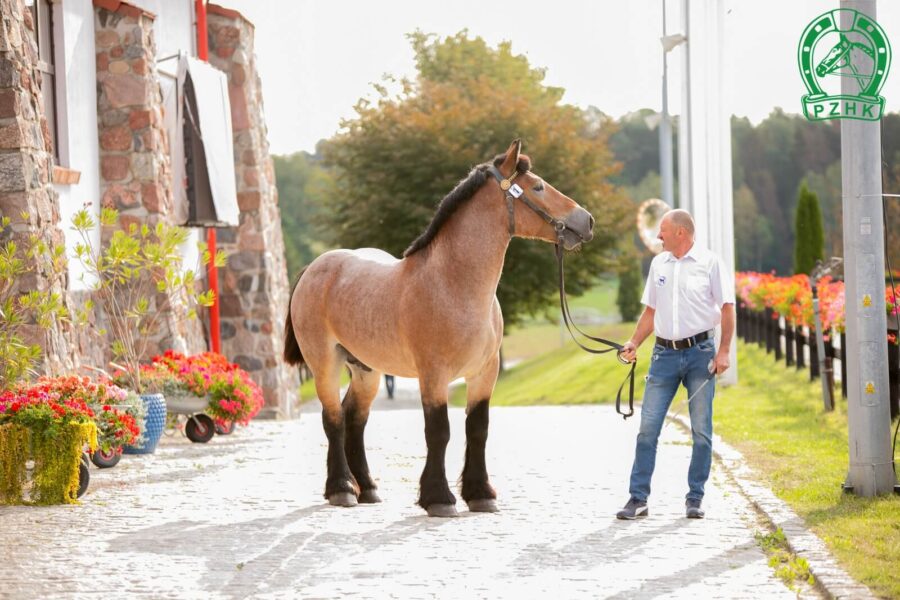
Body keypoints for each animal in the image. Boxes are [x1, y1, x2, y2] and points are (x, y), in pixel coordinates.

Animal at [282, 139, 592, 516]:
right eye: (538, 187)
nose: (587, 220)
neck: (453, 284)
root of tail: (315, 267)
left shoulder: (485, 373)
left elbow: (478, 429)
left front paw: (480, 494)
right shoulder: (433, 374)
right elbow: (439, 431)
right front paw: (439, 498)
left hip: (366, 370)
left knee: (354, 418)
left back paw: (366, 488)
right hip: (325, 364)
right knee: (333, 420)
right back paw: (342, 489)